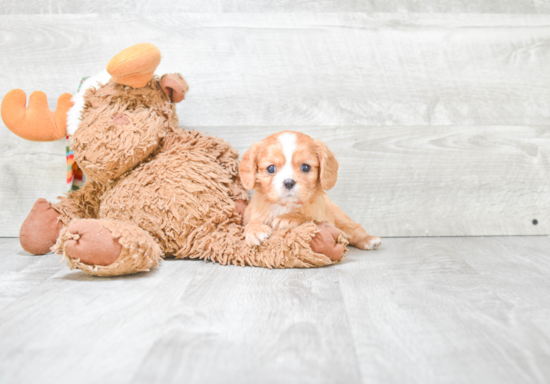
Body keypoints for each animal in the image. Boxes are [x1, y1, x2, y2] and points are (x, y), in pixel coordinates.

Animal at [242, 131, 384, 252]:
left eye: (306, 167)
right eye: (270, 168)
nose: (288, 182)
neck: (287, 205)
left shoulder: (322, 216)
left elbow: (309, 216)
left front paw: (288, 218)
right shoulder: (254, 212)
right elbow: (252, 221)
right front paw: (255, 229)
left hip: (339, 216)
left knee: (353, 228)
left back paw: (369, 239)